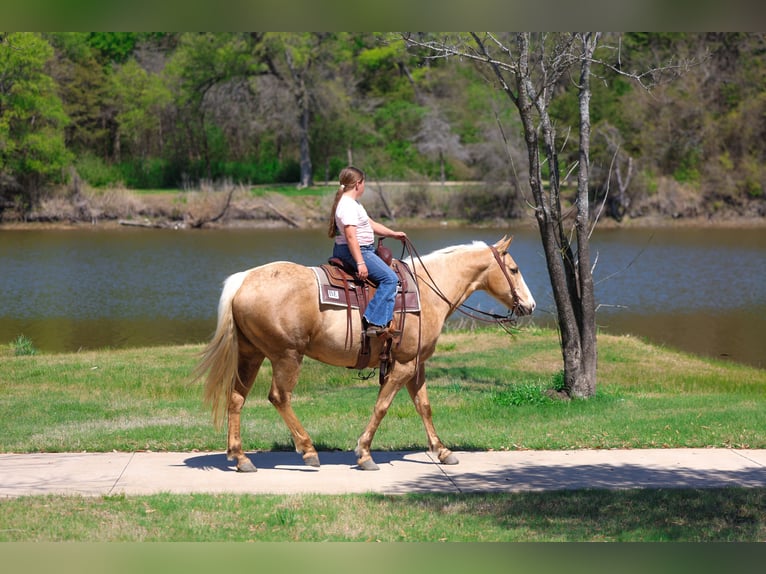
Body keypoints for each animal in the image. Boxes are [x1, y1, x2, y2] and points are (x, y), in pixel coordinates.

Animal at [194, 235, 536, 472]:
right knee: (279, 397)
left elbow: (424, 407)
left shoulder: (416, 365)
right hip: (286, 356)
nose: (530, 306)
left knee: (236, 398)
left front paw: (442, 451)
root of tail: (244, 281)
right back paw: (308, 450)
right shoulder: (403, 365)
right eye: (515, 269)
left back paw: (241, 458)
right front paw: (364, 453)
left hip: (251, 355)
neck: (427, 291)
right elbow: (382, 406)